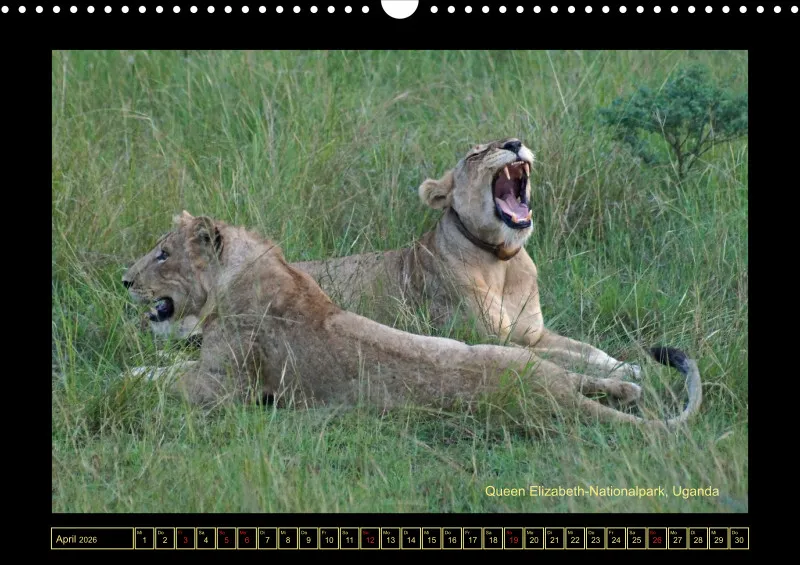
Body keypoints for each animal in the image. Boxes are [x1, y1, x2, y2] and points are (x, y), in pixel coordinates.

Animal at [121, 212, 702, 429]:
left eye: (162, 254)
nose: (125, 281)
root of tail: (548, 397)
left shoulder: (223, 390)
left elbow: (165, 379)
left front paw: (127, 378)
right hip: (505, 353)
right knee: (603, 382)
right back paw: (629, 383)